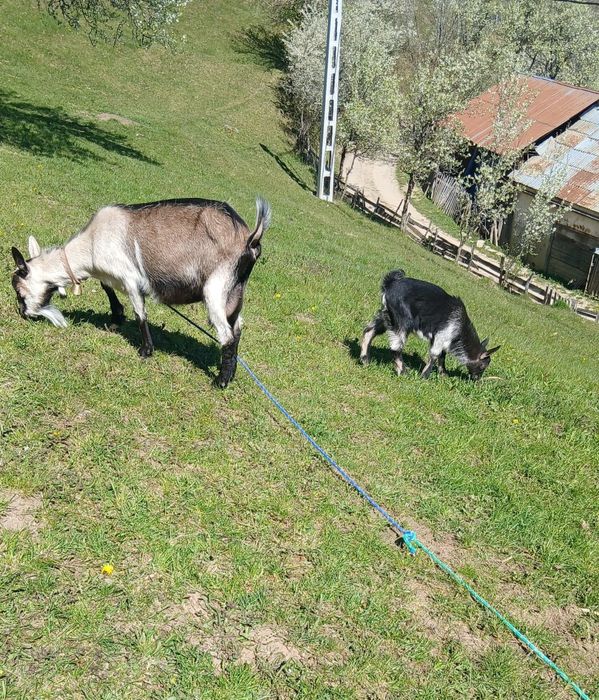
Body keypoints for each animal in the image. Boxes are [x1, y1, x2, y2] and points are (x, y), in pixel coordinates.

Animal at [11, 197, 271, 388]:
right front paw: (116, 318)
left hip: (216, 287)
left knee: (226, 334)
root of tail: (250, 239)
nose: (23, 314)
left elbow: (140, 313)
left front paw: (145, 350)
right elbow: (107, 287)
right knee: (237, 328)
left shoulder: (131, 279)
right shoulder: (110, 275)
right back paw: (231, 372)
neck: (91, 244)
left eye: (19, 292)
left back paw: (220, 381)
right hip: (235, 292)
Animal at [360, 269, 499, 380]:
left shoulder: (442, 339)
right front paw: (424, 376)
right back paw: (403, 372)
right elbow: (435, 355)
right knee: (396, 347)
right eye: (482, 366)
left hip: (386, 315)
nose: (476, 379)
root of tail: (390, 283)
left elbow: (442, 356)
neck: (460, 328)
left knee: (369, 331)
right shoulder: (442, 334)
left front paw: (444, 376)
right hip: (402, 320)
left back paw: (365, 360)